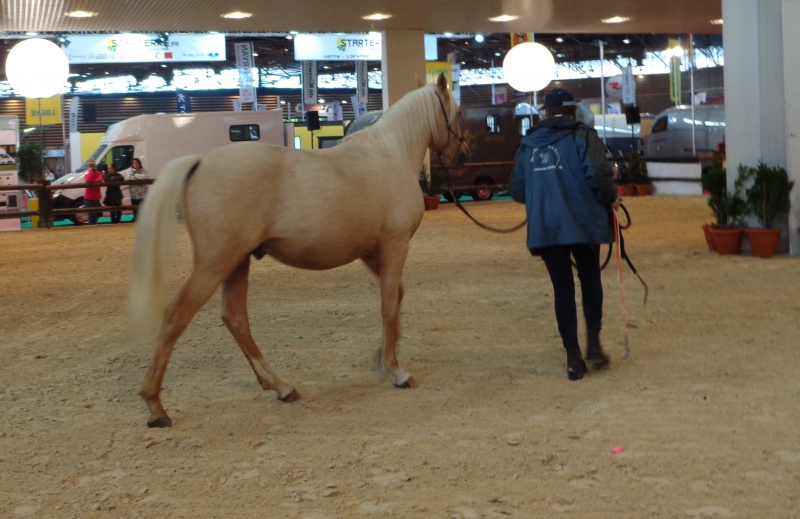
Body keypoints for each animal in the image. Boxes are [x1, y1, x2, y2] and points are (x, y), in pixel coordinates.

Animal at [130, 74, 468, 430]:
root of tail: (199, 161)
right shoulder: (395, 245)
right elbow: (388, 305)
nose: (463, 153)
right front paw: (397, 371)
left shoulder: (371, 252)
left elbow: (396, 297)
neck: (393, 152)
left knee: (235, 318)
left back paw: (280, 387)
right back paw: (156, 406)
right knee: (176, 316)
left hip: (236, 262)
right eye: (458, 113)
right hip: (215, 263)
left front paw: (381, 357)